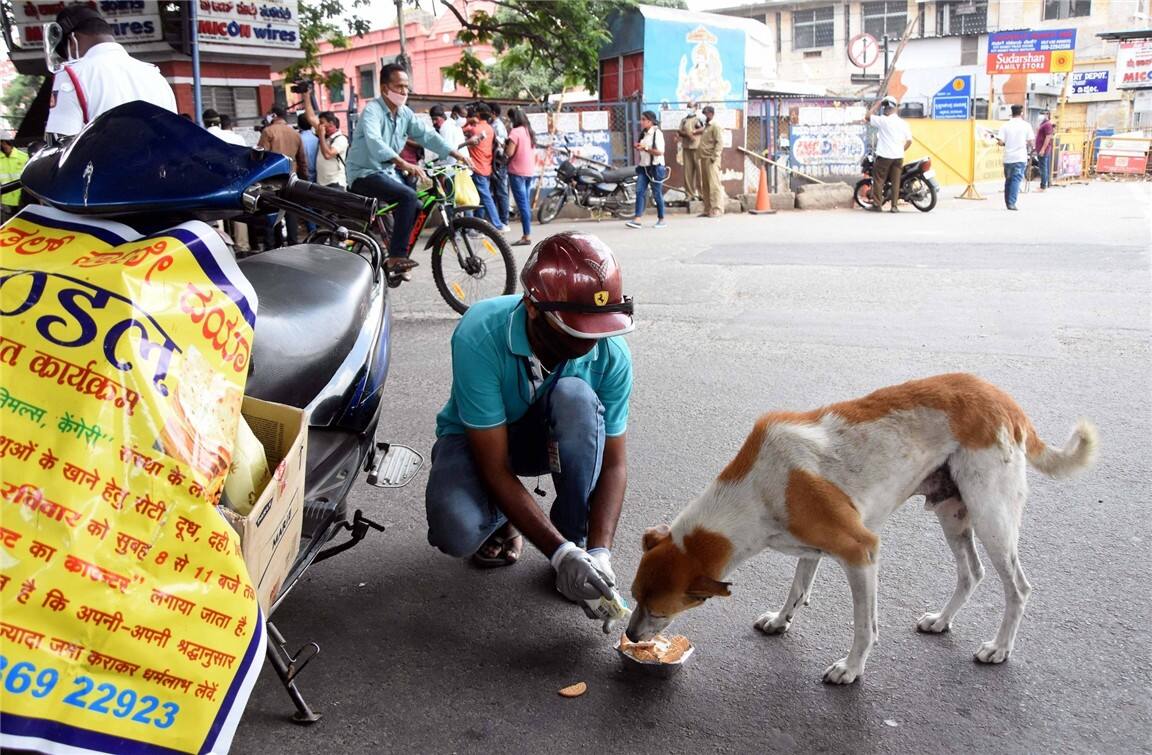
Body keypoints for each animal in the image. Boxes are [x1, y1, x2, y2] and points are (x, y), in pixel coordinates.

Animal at [631, 375, 1096, 686]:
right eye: (634, 597)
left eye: (660, 610)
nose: (631, 635)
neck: (758, 488)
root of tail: (1006, 401)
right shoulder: (810, 546)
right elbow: (797, 588)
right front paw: (781, 620)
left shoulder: (861, 551)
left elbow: (864, 627)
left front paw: (851, 669)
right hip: (953, 511)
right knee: (971, 573)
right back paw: (941, 621)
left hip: (991, 517)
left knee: (1018, 587)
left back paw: (999, 648)